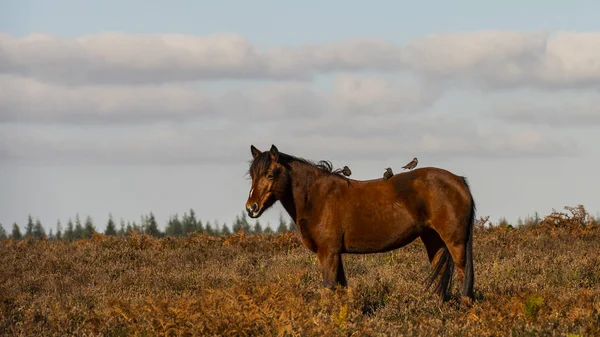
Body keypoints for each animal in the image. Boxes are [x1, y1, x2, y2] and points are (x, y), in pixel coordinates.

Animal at [245, 143, 478, 300]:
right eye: (252, 175)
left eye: (271, 174)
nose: (251, 208)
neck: (318, 196)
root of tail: (459, 181)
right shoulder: (335, 254)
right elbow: (341, 288)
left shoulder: (328, 253)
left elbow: (328, 289)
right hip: (434, 240)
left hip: (455, 243)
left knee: (463, 275)